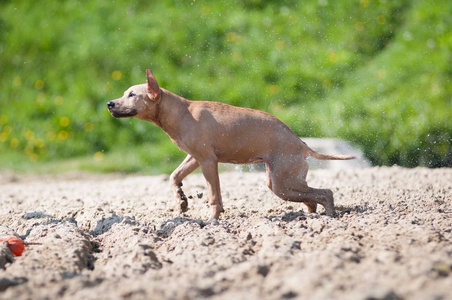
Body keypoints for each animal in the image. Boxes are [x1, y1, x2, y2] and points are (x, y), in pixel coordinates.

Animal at [107, 69, 354, 221]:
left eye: (132, 95)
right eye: (124, 93)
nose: (109, 104)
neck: (180, 112)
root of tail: (302, 145)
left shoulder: (208, 161)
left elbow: (214, 196)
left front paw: (212, 221)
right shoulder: (194, 158)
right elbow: (174, 176)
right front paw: (181, 201)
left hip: (283, 183)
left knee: (326, 193)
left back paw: (329, 217)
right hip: (283, 184)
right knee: (312, 199)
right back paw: (310, 216)